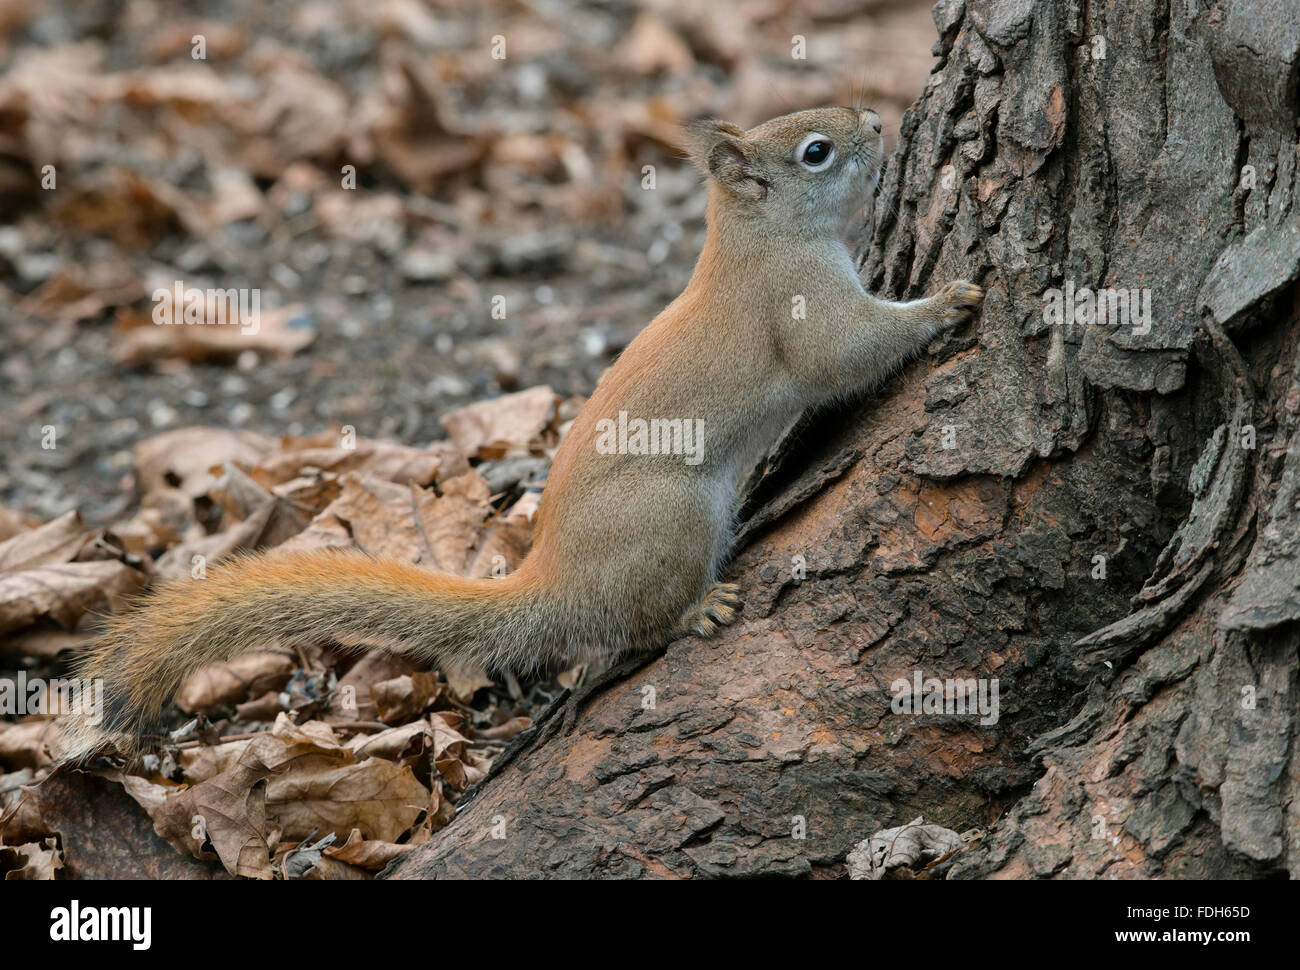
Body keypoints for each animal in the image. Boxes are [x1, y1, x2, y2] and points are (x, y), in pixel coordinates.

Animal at [55, 104, 977, 754]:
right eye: (816, 150)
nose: (876, 121)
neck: (756, 240)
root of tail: (555, 584)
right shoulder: (797, 306)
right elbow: (844, 354)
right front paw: (947, 305)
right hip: (669, 519)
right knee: (637, 623)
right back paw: (695, 611)